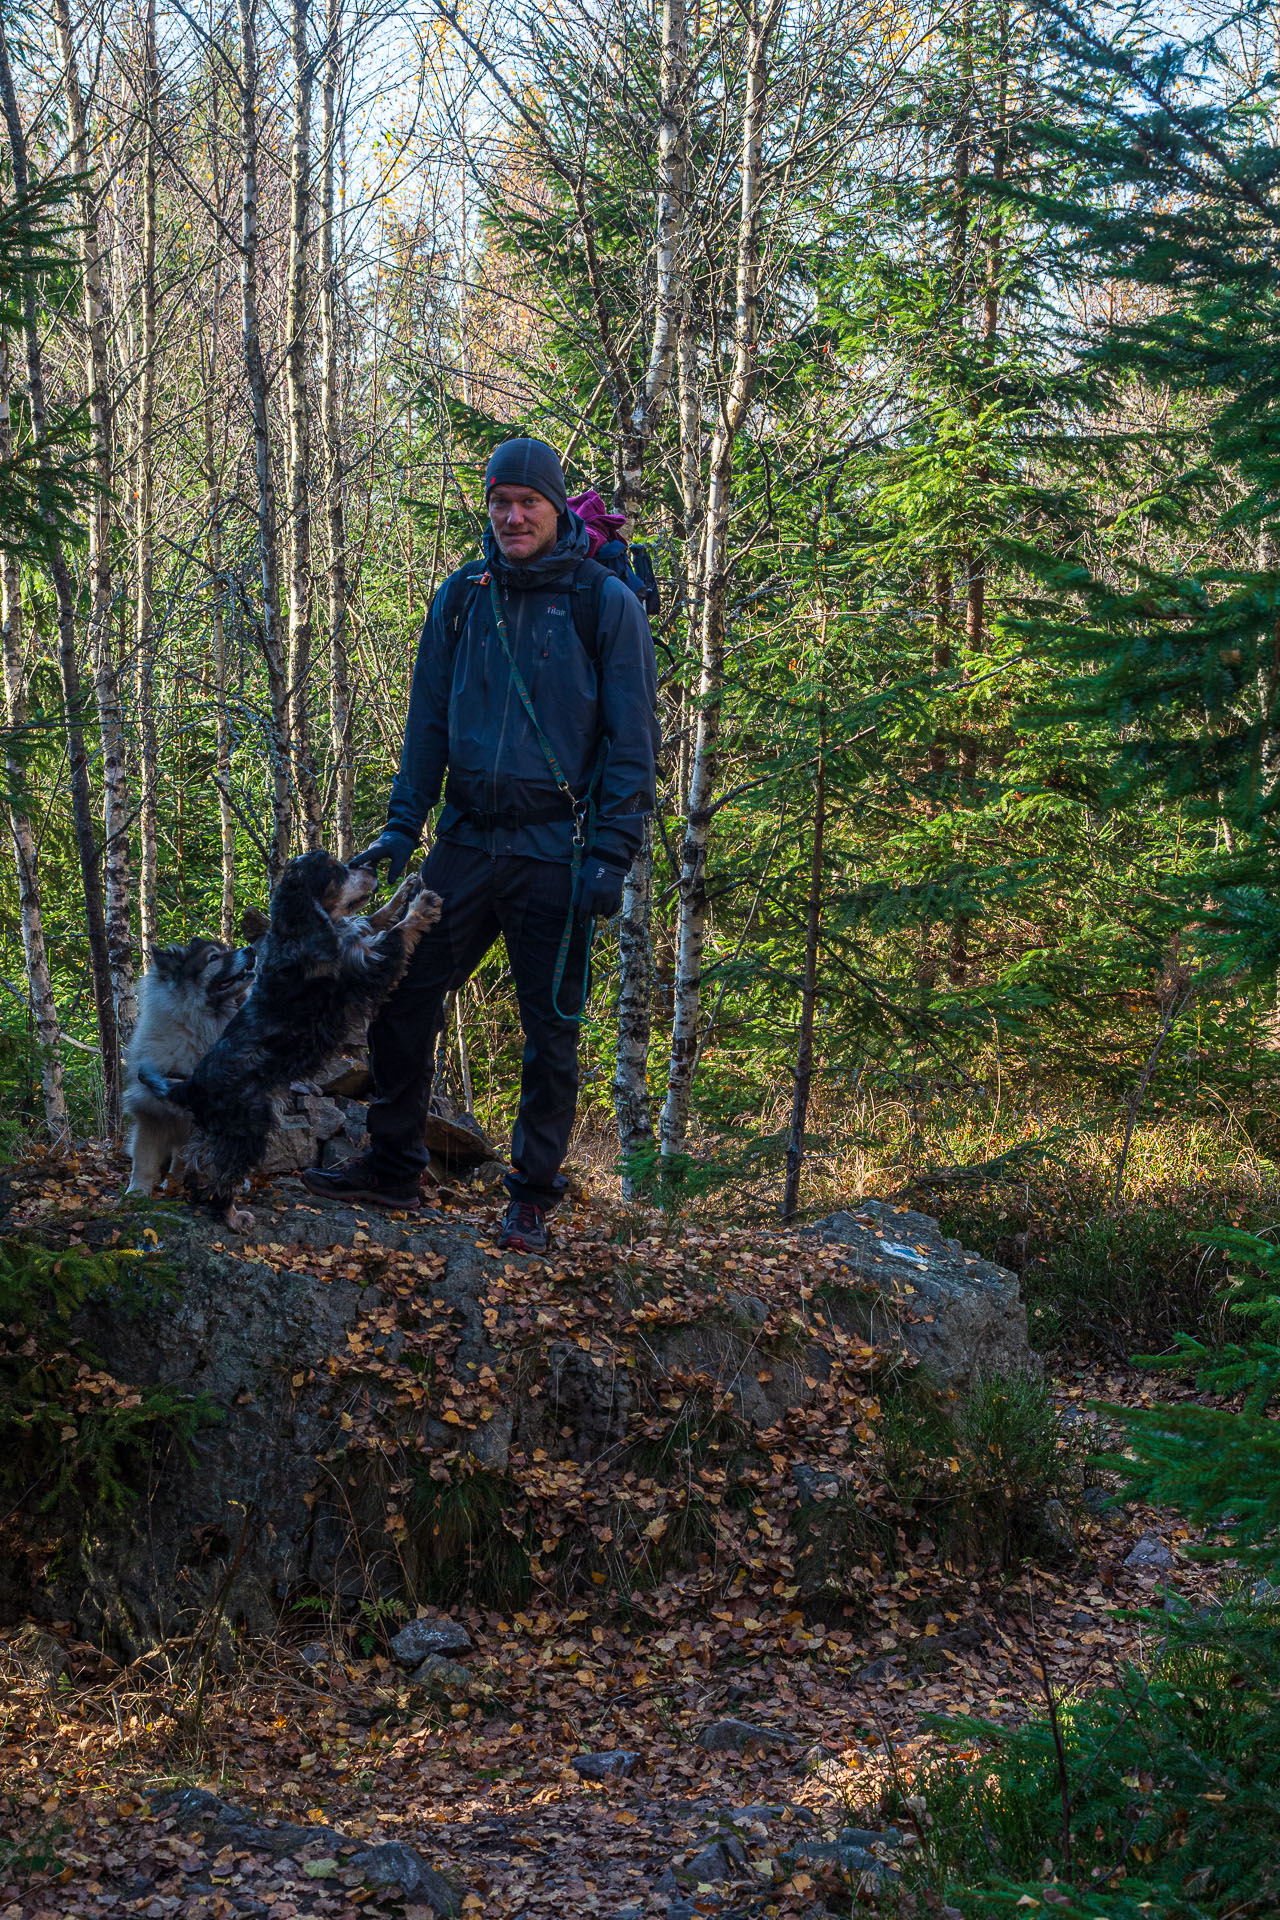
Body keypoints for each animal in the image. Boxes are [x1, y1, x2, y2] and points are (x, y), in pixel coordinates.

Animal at [123, 936, 257, 1190]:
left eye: (227, 950)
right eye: (213, 958)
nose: (252, 950)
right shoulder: (151, 1113)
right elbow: (144, 1162)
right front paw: (136, 1192)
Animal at [138, 852, 443, 1221]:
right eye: (335, 871)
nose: (371, 866)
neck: (303, 929)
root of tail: (192, 1084)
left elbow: (375, 919)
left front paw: (404, 890)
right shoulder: (368, 966)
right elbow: (396, 933)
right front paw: (422, 905)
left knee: (199, 1158)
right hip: (250, 1124)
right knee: (223, 1170)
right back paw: (232, 1215)